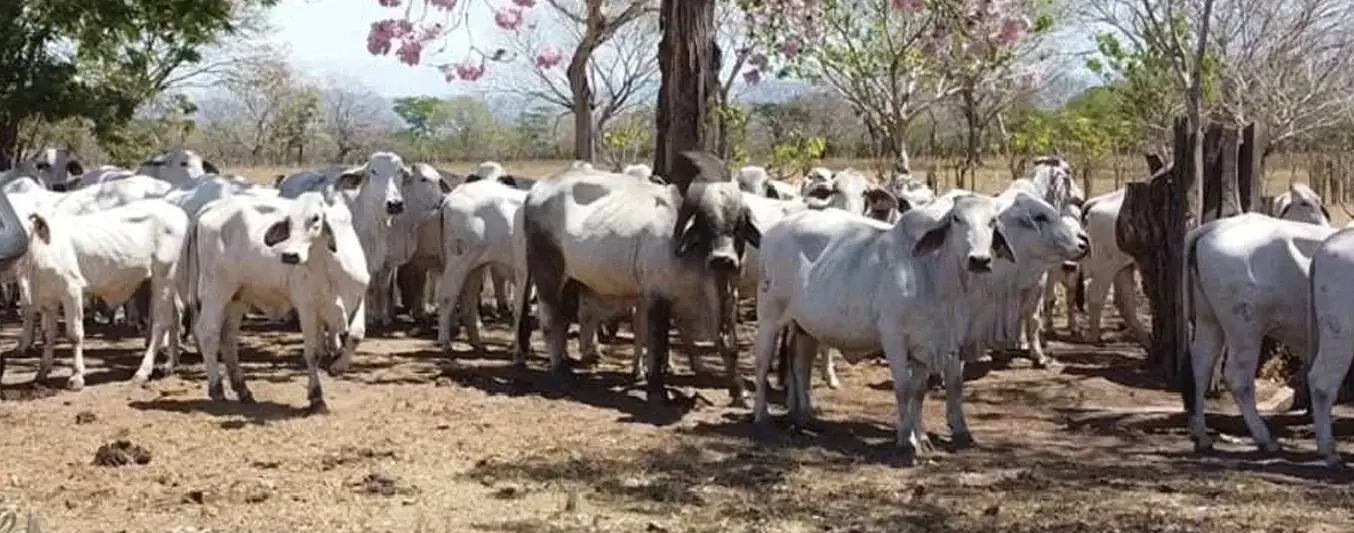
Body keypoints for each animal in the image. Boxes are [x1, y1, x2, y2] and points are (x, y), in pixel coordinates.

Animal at [13, 197, 189, 389]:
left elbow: (74, 334)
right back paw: (170, 364)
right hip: (155, 281)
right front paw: (42, 372)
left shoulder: (72, 291)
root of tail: (177, 211)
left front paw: (76, 376)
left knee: (160, 322)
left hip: (163, 275)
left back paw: (142, 372)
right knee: (175, 315)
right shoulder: (48, 299)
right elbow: (48, 335)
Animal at [189, 192, 370, 411]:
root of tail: (210, 207)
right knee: (208, 332)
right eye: (288, 221)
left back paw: (243, 389)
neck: (331, 266)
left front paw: (337, 368)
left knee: (228, 338)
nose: (290, 255)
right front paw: (316, 396)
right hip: (216, 290)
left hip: (237, 298)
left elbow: (357, 335)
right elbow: (312, 352)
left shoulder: (358, 297)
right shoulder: (307, 306)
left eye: (316, 219)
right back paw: (216, 388)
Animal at [758, 196, 1012, 462]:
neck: (934, 278)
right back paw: (761, 417)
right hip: (769, 316)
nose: (979, 260)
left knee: (800, 366)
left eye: (993, 221)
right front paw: (907, 441)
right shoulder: (894, 338)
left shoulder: (930, 345)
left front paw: (922, 439)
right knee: (762, 364)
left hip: (805, 327)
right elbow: (903, 388)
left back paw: (804, 417)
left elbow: (919, 391)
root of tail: (776, 229)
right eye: (956, 218)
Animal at [1180, 215, 1337, 457]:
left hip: (1209, 320)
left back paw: (1202, 437)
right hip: (1245, 328)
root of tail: (1214, 227)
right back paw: (1265, 439)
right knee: (1238, 378)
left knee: (1200, 368)